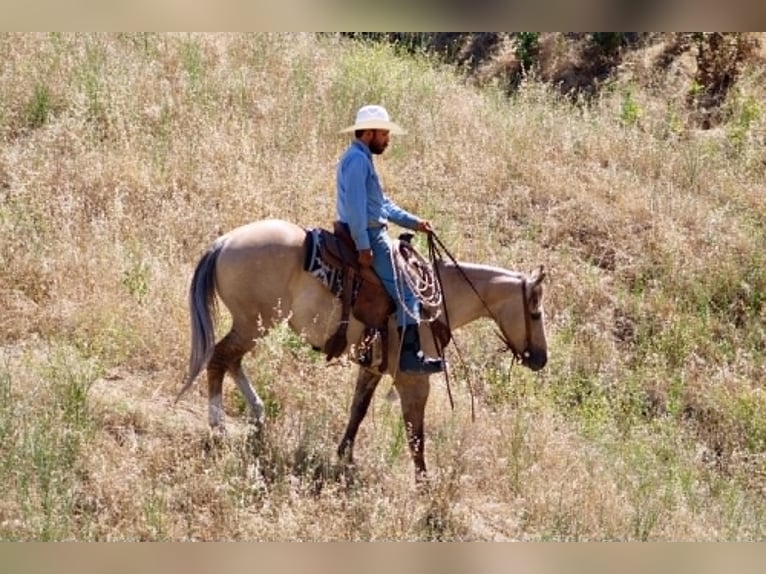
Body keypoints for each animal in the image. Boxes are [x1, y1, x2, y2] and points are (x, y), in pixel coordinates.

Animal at [176, 218, 548, 480]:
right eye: (536, 312)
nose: (541, 359)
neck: (439, 301)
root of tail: (225, 242)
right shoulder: (413, 380)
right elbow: (416, 434)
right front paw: (424, 486)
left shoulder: (372, 366)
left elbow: (358, 409)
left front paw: (345, 455)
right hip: (254, 323)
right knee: (220, 358)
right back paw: (218, 424)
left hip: (254, 324)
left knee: (232, 360)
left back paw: (256, 412)